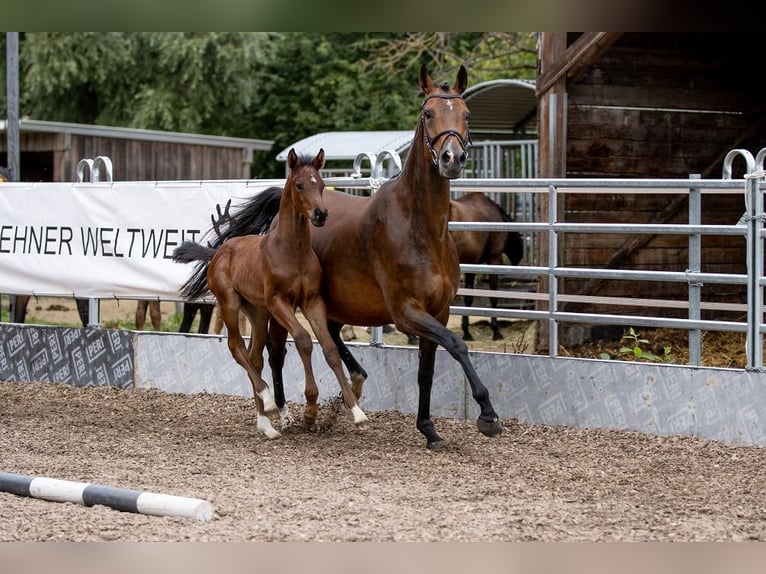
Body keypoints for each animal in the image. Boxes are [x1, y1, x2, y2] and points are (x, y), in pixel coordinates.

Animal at [172, 150, 370, 440]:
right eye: (299, 185)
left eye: (322, 184)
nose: (321, 214)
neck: (292, 251)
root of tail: (219, 251)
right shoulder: (279, 302)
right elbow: (303, 340)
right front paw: (310, 406)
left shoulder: (312, 301)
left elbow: (330, 349)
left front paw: (357, 413)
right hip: (230, 303)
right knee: (236, 347)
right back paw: (267, 400)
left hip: (257, 311)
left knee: (254, 356)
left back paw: (266, 424)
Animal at [201, 64, 508, 450]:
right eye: (428, 113)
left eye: (466, 114)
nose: (452, 158)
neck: (421, 228)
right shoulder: (406, 312)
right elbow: (457, 344)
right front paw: (488, 414)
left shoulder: (439, 310)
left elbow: (427, 371)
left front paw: (428, 428)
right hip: (276, 306)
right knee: (275, 350)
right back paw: (283, 410)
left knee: (326, 337)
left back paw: (346, 388)